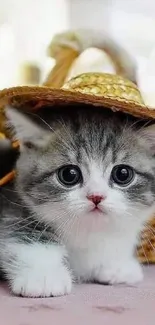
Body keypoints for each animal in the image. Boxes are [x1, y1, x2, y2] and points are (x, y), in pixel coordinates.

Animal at [0, 105, 155, 296]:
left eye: (123, 174)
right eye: (69, 174)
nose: (96, 196)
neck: (86, 231)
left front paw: (117, 264)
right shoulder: (11, 206)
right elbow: (22, 236)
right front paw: (44, 276)